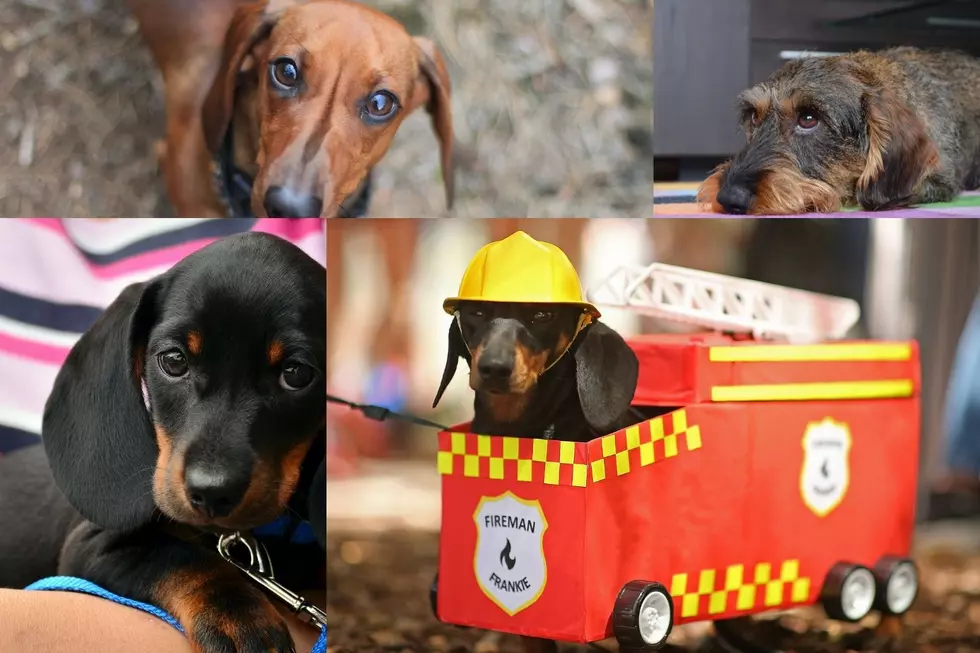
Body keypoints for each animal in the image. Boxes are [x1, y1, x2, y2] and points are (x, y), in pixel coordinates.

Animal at [0, 233, 326, 652]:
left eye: (297, 373)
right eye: (173, 360)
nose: (212, 493)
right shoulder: (90, 545)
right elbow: (183, 557)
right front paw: (241, 618)